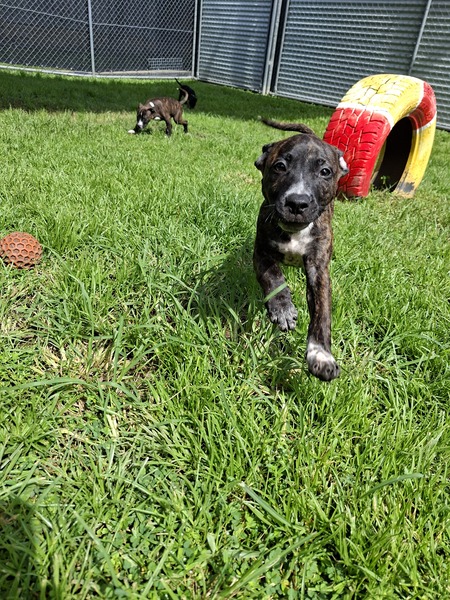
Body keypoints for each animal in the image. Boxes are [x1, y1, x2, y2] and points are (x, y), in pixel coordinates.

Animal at [253, 118, 349, 381]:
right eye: (280, 166)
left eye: (325, 172)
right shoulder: (261, 252)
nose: (297, 203)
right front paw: (283, 309)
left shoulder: (319, 270)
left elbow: (322, 314)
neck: (296, 232)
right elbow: (273, 277)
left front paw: (321, 356)